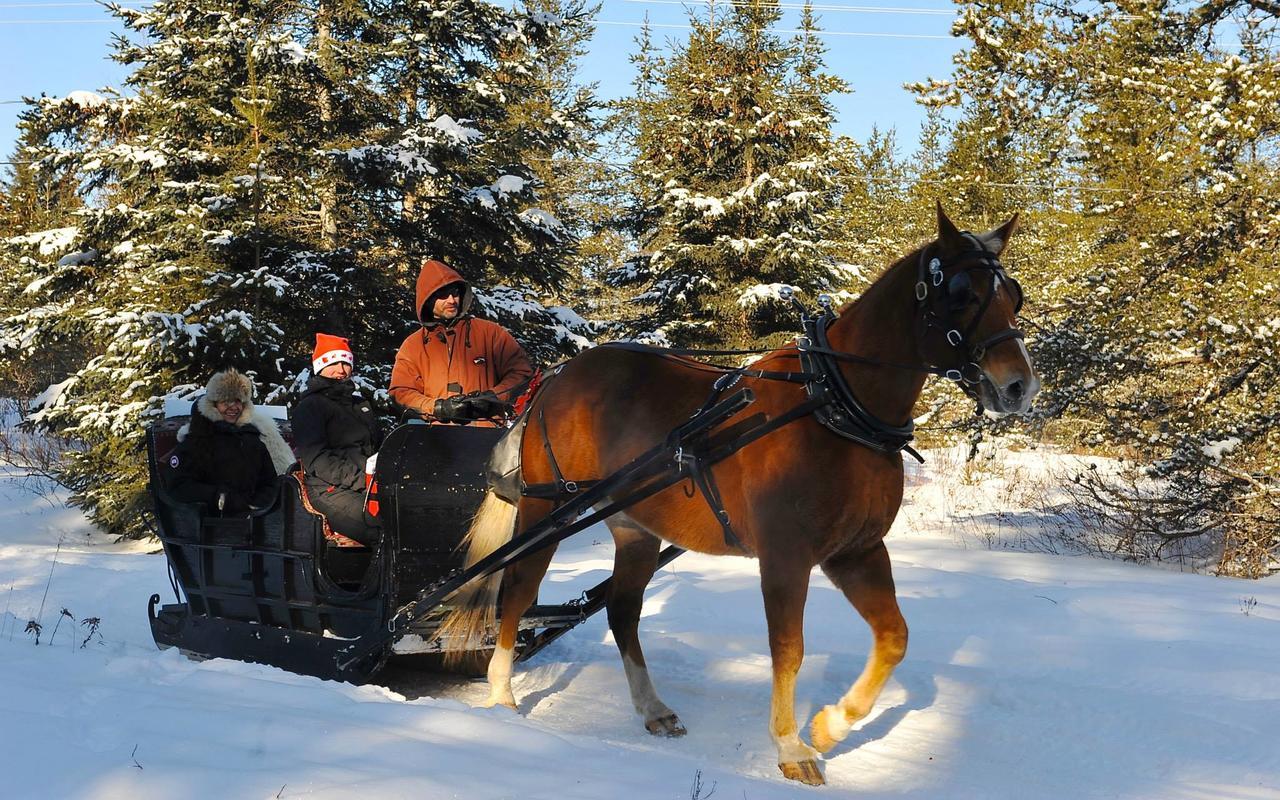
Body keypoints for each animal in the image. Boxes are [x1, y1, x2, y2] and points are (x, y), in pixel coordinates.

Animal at [440, 202, 1039, 783]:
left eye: (1013, 294)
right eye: (959, 294)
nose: (1019, 386)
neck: (834, 406)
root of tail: (555, 380)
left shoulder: (857, 551)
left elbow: (895, 637)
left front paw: (830, 727)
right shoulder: (786, 555)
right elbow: (789, 650)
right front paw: (791, 747)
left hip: (634, 528)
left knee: (622, 610)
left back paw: (653, 708)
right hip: (548, 507)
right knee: (517, 592)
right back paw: (501, 694)